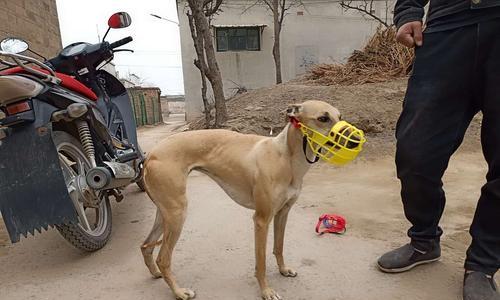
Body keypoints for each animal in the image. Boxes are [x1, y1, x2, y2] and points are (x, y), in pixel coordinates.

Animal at [139, 101, 362, 300]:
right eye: (323, 118)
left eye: (340, 116)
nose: (356, 141)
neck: (285, 157)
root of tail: (151, 154)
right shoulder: (262, 220)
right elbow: (261, 261)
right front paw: (266, 291)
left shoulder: (283, 213)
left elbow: (279, 247)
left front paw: (283, 270)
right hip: (177, 213)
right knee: (163, 258)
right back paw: (179, 292)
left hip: (165, 213)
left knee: (145, 245)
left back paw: (156, 273)